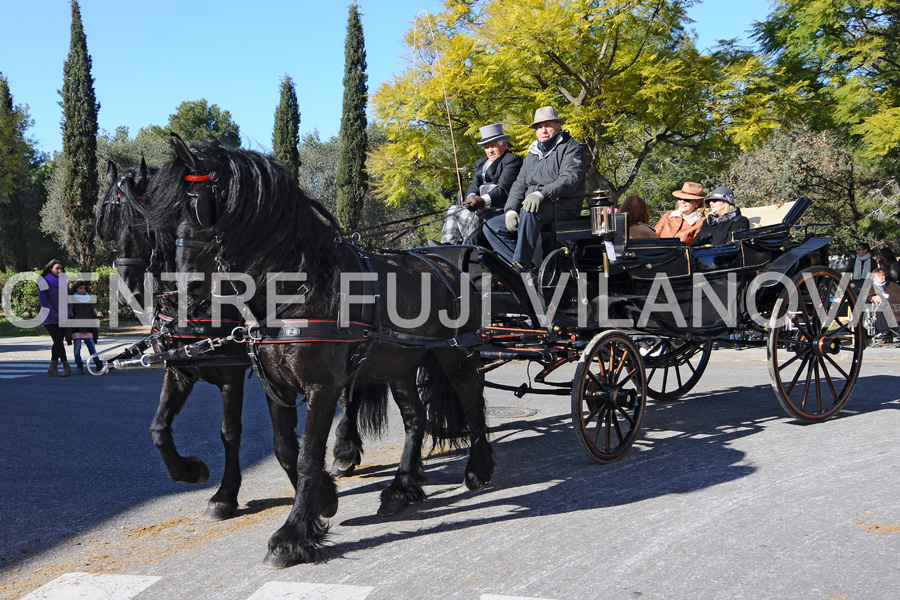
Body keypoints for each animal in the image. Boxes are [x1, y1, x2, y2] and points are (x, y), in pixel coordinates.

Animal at [149, 136, 500, 568]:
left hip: (455, 356)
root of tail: (442, 262)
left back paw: (478, 469)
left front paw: (292, 536)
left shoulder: (322, 387)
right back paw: (402, 488)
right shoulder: (276, 386)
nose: (183, 295)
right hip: (398, 363)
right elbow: (286, 450)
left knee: (471, 401)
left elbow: (307, 456)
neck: (298, 289)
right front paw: (325, 499)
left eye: (196, 208)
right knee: (415, 419)